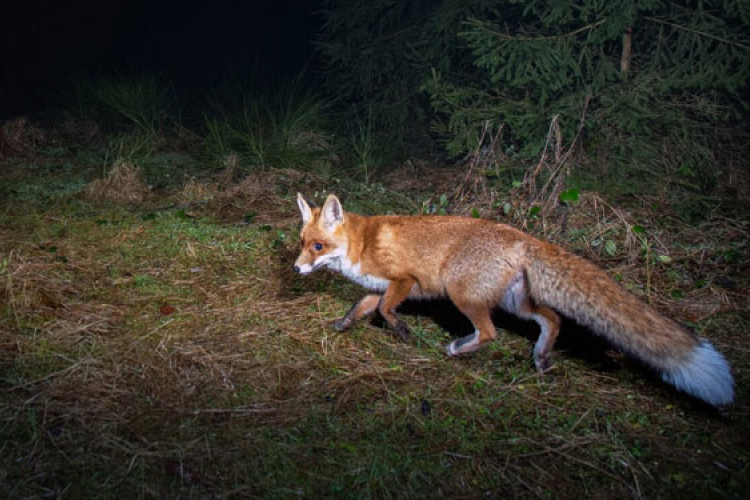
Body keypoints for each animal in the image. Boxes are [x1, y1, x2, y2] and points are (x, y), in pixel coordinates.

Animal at [292, 192, 736, 406]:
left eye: (318, 246)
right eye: (300, 243)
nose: (296, 269)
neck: (361, 244)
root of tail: (523, 236)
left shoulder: (405, 280)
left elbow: (385, 310)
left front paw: (401, 330)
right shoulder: (379, 286)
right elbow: (362, 307)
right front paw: (343, 325)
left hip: (462, 294)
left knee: (490, 333)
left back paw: (459, 348)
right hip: (515, 302)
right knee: (553, 319)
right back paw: (540, 357)